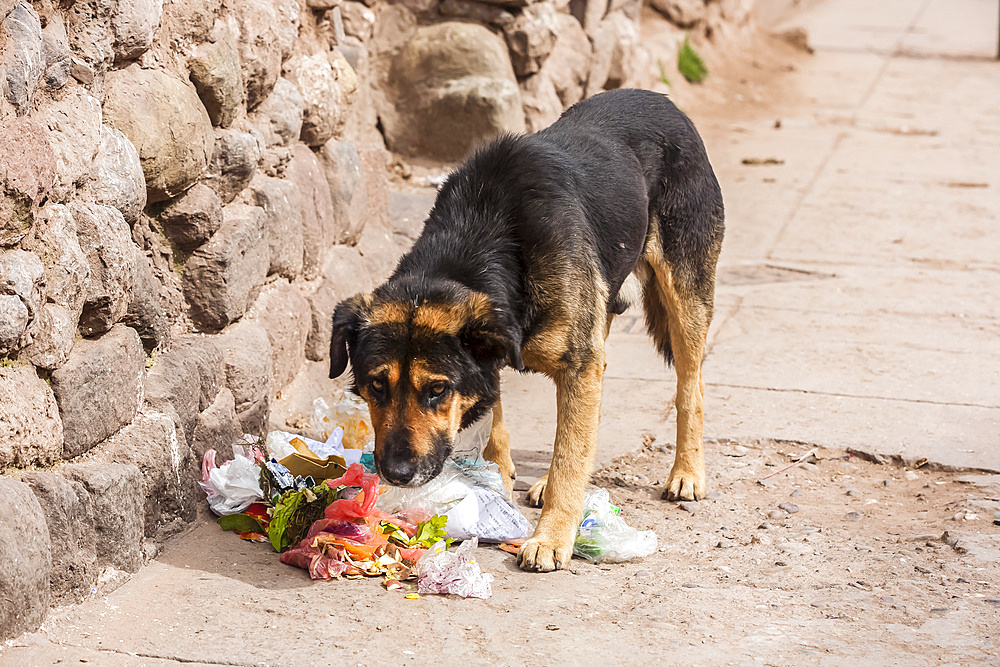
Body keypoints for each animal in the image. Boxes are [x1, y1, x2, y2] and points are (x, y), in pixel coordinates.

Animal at [332, 86, 724, 572]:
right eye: (375, 386)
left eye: (437, 390)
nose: (398, 474)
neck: (482, 240)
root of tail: (662, 99)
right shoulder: (502, 346)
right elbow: (500, 419)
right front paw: (497, 478)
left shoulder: (577, 365)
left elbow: (571, 453)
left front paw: (553, 536)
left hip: (685, 297)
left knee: (690, 387)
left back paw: (687, 472)